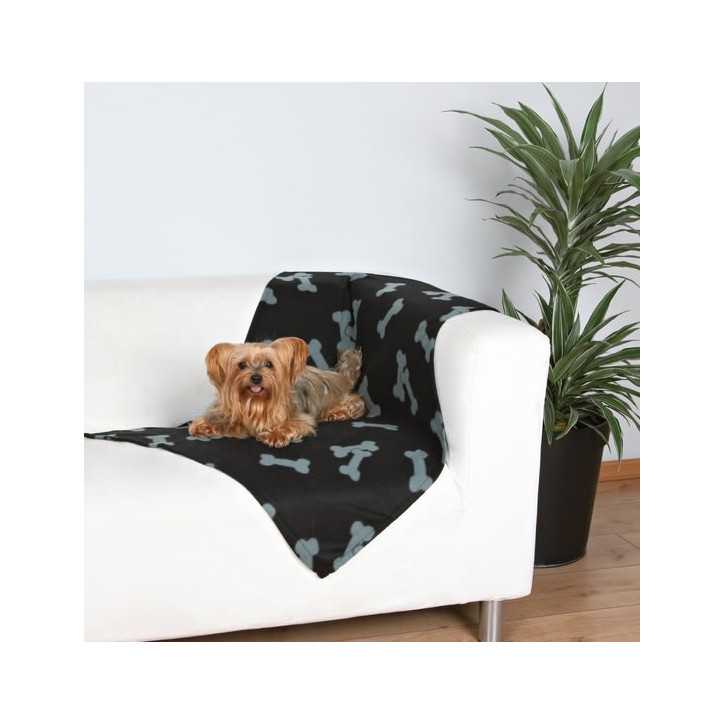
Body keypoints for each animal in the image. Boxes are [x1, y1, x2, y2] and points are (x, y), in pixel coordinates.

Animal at [189, 337, 366, 447]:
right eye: (242, 365)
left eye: (269, 364)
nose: (256, 378)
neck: (255, 402)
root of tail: (340, 376)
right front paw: (202, 426)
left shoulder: (300, 418)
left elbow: (293, 425)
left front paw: (275, 435)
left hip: (347, 400)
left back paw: (335, 413)